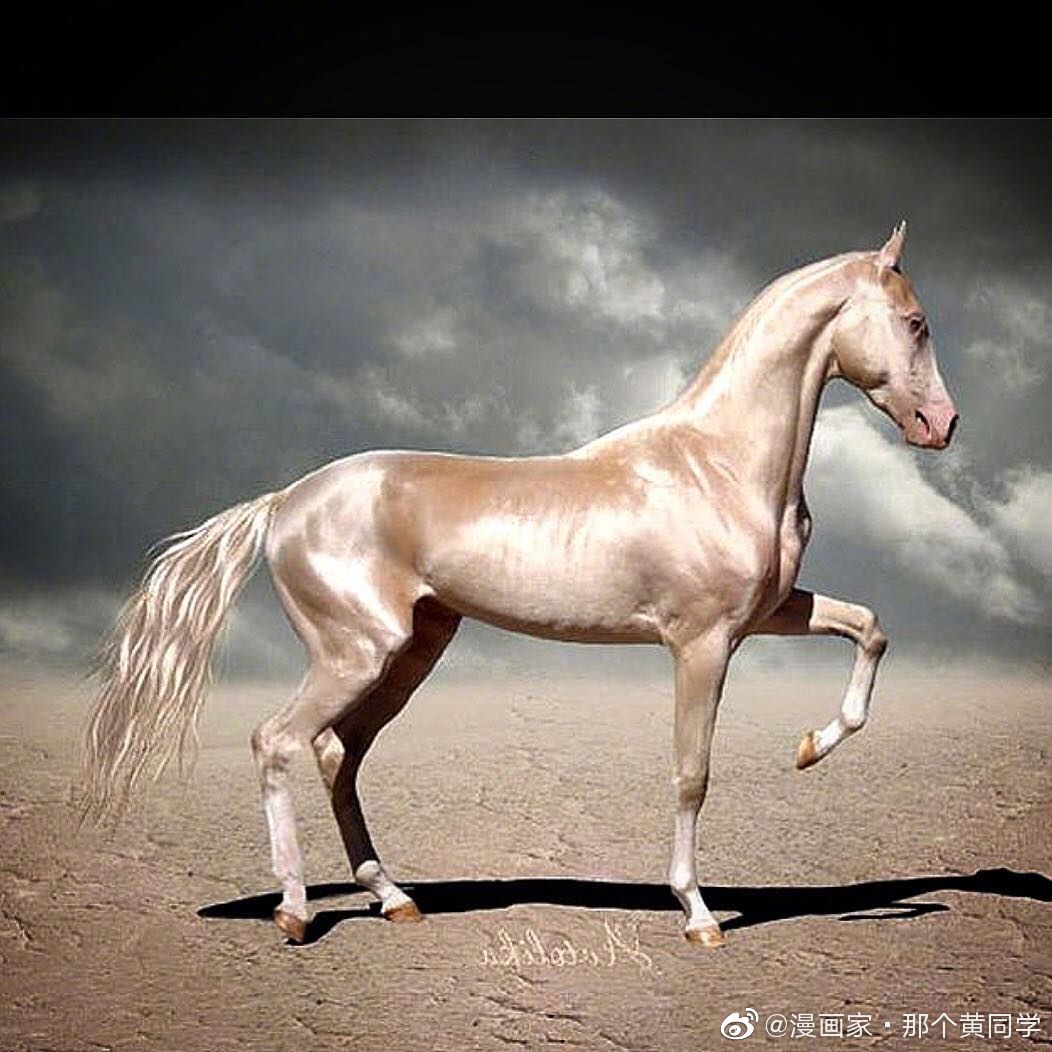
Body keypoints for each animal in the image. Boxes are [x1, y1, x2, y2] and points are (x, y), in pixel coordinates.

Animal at [83, 222, 958, 948]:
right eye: (916, 323)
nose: (942, 425)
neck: (718, 462)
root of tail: (284, 501)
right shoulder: (701, 644)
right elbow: (692, 774)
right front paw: (700, 915)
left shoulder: (768, 614)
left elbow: (870, 627)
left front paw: (811, 747)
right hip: (355, 653)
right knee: (277, 741)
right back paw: (295, 913)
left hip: (410, 653)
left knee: (339, 754)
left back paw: (394, 899)